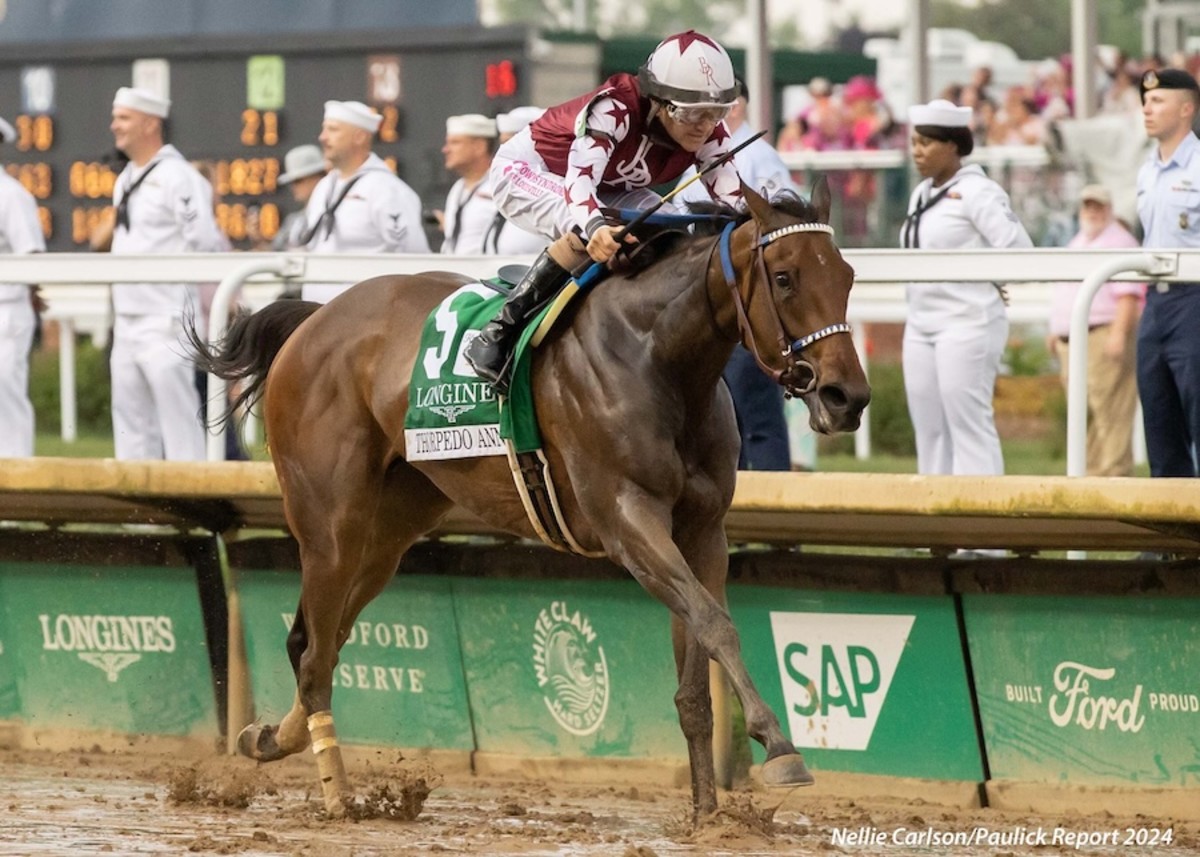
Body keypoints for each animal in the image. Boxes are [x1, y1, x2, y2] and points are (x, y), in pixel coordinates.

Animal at [199, 176, 873, 816]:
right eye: (784, 277)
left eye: (846, 276)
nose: (847, 397)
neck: (657, 355)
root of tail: (316, 318)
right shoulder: (627, 521)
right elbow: (716, 624)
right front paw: (780, 748)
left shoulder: (702, 531)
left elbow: (698, 667)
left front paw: (709, 812)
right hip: (331, 526)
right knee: (316, 656)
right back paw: (337, 797)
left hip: (389, 531)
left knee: (321, 641)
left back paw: (269, 737)